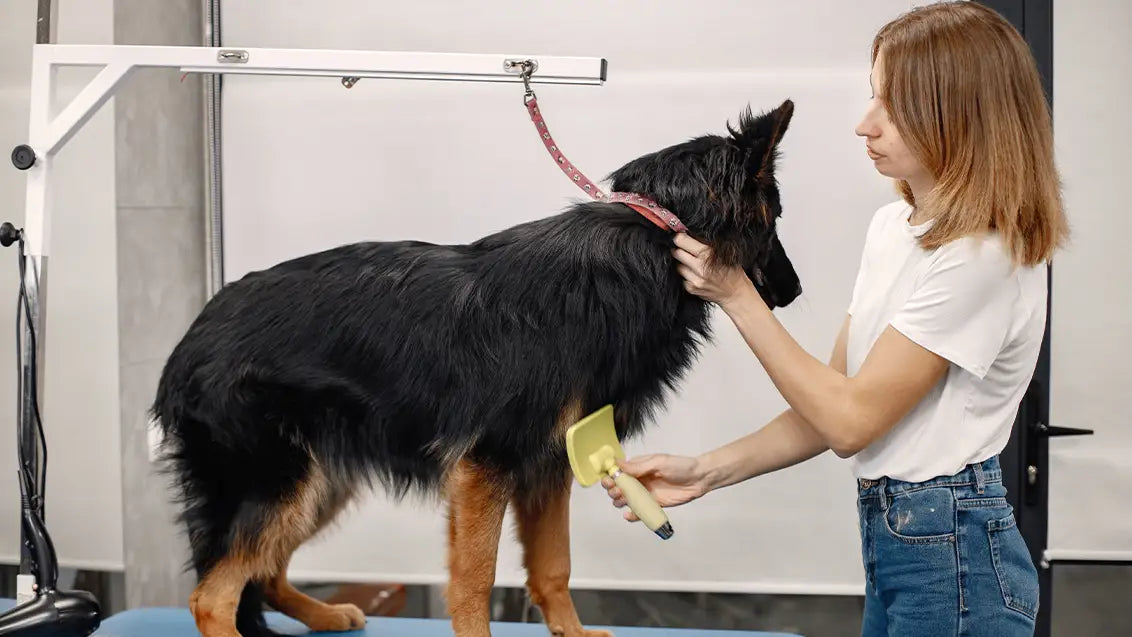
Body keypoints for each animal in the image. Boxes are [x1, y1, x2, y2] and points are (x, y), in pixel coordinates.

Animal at [155, 98, 801, 637]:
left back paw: (326, 614)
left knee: (261, 573)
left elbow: (554, 566)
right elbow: (474, 579)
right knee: (211, 598)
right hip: (276, 484)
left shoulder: (549, 464)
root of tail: (192, 336)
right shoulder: (486, 466)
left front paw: (571, 633)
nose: (796, 293)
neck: (650, 239)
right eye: (774, 219)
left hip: (317, 485)